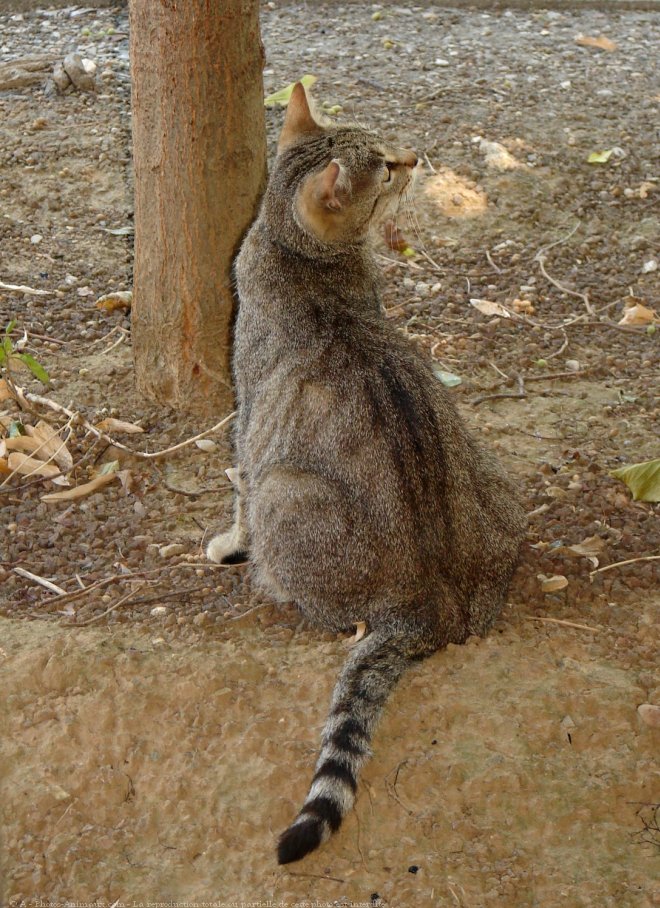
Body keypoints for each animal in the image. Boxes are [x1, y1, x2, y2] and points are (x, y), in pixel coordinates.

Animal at [206, 85, 524, 864]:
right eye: (382, 168)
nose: (412, 157)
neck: (295, 251)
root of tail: (427, 611)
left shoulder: (247, 415)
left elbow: (237, 485)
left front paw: (228, 544)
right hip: (492, 473)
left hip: (289, 494)